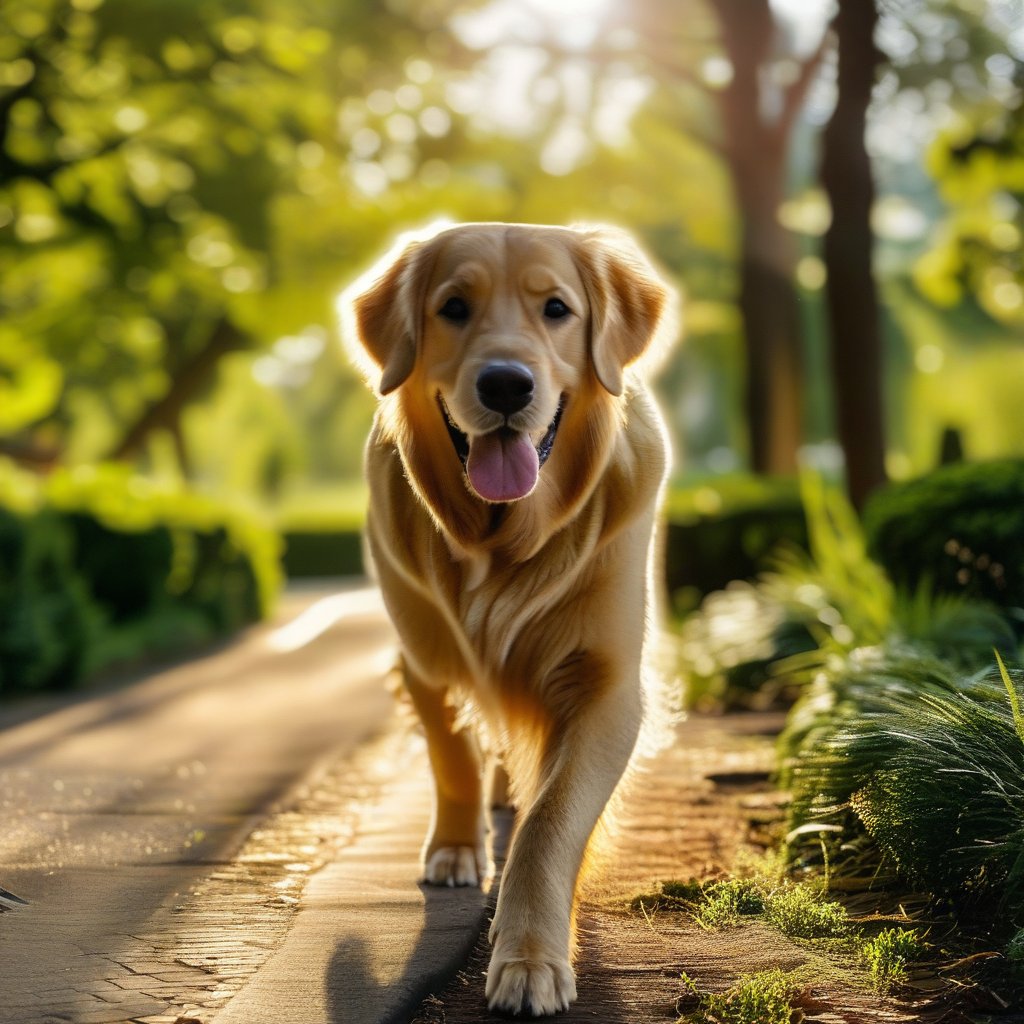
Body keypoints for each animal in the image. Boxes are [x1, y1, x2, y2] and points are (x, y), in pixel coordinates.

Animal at [344, 224, 675, 1015]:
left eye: (556, 309)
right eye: (453, 308)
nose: (505, 384)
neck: (504, 543)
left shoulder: (606, 686)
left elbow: (549, 823)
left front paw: (529, 959)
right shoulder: (423, 658)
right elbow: (451, 753)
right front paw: (457, 847)